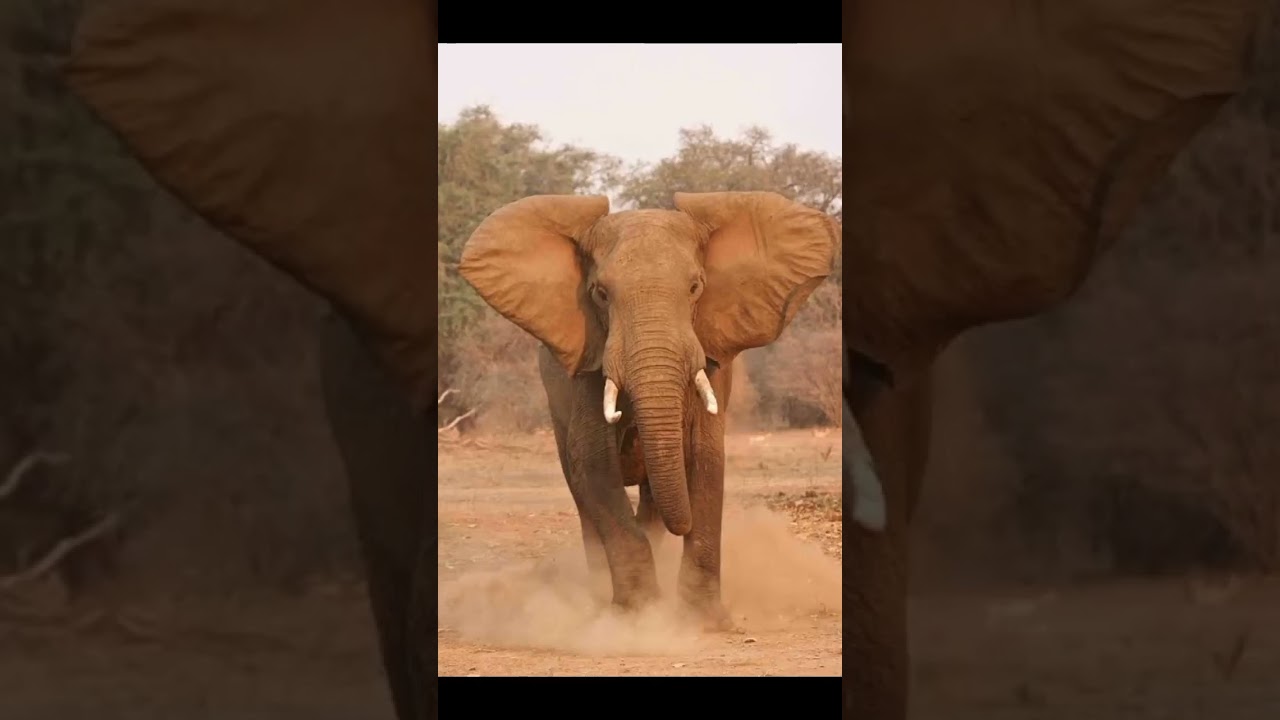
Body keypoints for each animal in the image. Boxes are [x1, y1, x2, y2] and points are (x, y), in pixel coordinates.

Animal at [456, 192, 840, 624]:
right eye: (600, 293)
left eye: (695, 287)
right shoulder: (588, 363)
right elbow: (594, 465)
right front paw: (639, 616)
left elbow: (705, 458)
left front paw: (703, 621)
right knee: (583, 495)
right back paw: (597, 591)